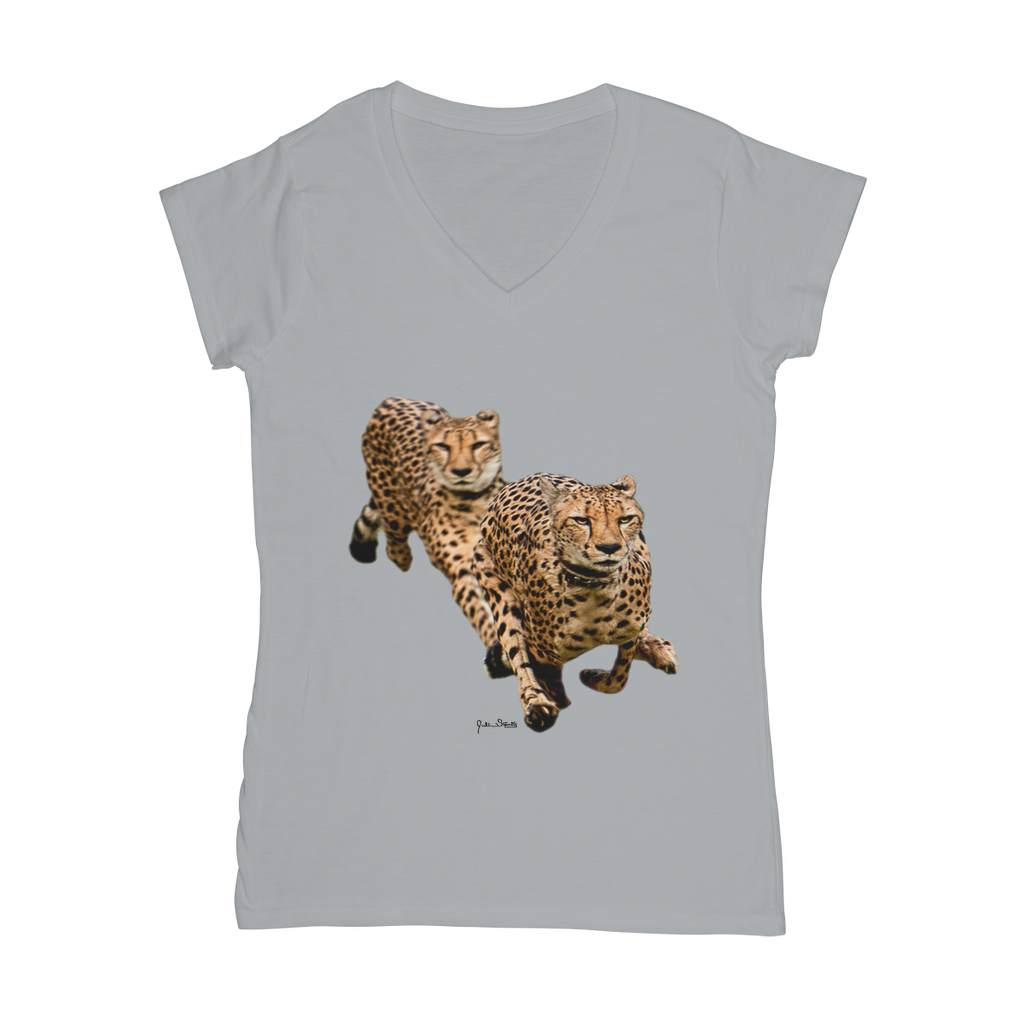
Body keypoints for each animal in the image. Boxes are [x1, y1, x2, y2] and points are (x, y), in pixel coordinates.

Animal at [349, 396, 505, 648]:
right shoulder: (462, 574)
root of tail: (391, 399)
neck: (474, 500)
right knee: (394, 541)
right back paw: (403, 557)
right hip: (393, 508)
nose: (461, 471)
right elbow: (482, 615)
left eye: (478, 445)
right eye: (443, 446)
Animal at [472, 472, 678, 732]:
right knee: (517, 651)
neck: (594, 587)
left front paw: (593, 677)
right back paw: (537, 704)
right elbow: (544, 674)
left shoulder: (631, 627)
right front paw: (553, 699)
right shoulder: (543, 652)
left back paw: (658, 648)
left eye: (625, 519)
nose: (609, 548)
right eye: (581, 520)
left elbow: (619, 677)